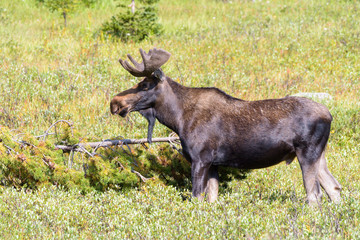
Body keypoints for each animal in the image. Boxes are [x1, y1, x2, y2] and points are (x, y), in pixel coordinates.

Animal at [111, 48, 342, 204]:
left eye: (144, 85)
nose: (115, 102)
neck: (178, 119)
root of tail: (329, 115)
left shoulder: (200, 159)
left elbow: (196, 198)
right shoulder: (214, 164)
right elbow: (212, 200)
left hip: (307, 153)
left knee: (314, 196)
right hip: (320, 155)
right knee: (334, 189)